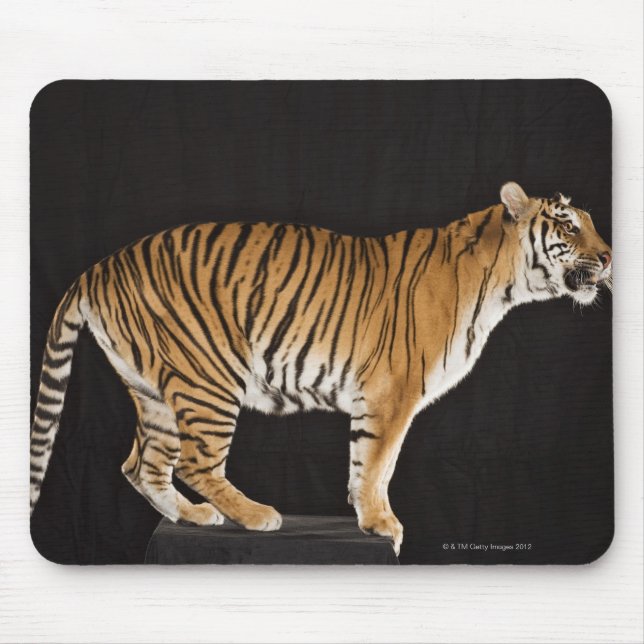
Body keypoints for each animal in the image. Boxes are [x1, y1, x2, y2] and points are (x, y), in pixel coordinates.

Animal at [30, 182, 612, 555]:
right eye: (568, 226)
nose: (608, 257)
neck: (501, 284)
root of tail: (98, 267)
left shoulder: (378, 398)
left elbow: (365, 463)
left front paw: (365, 517)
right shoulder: (392, 393)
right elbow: (378, 463)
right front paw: (381, 524)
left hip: (154, 391)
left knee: (141, 464)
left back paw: (194, 516)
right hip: (209, 379)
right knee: (195, 461)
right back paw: (256, 516)